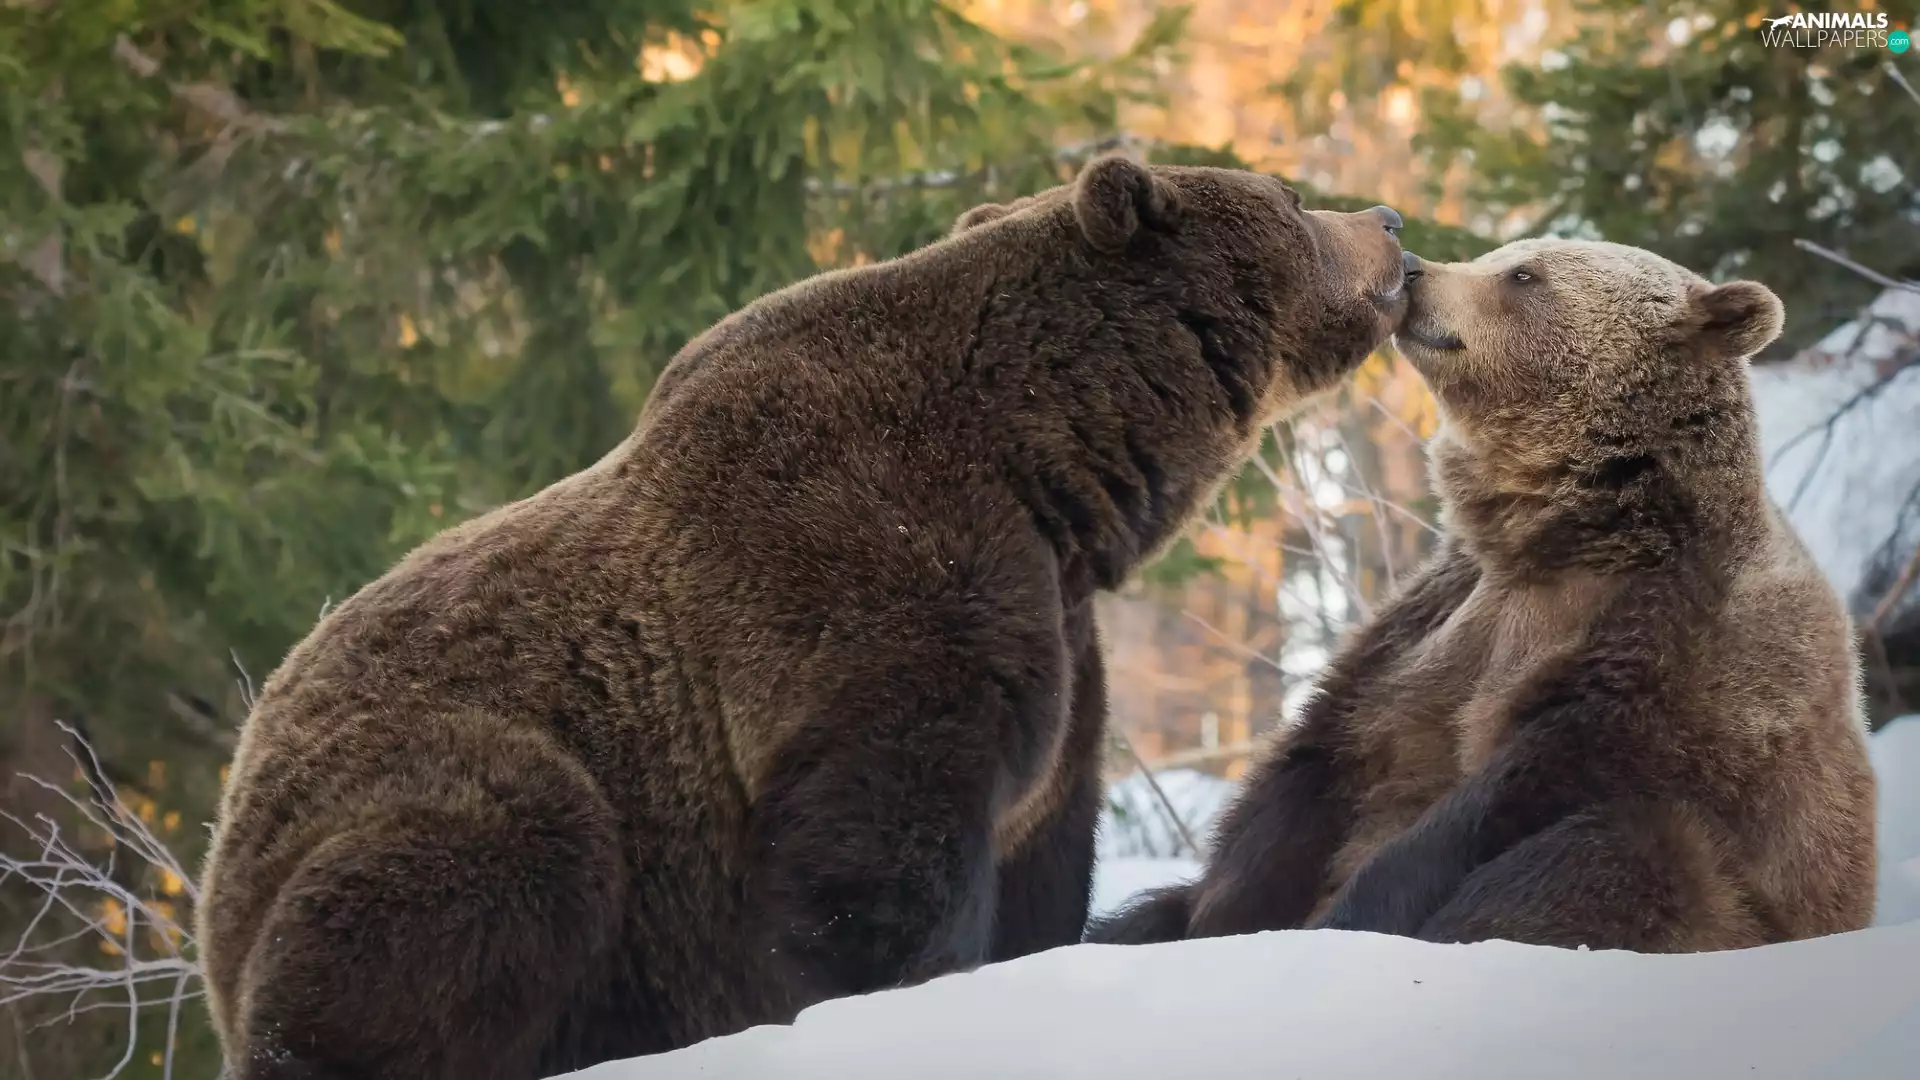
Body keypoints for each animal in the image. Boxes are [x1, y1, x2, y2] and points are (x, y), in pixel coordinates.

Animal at [195, 154, 1413, 1080]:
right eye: (1293, 198)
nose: (1390, 223)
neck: (1050, 469)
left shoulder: (1054, 639)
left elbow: (1044, 847)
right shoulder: (865, 585)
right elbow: (877, 854)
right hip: (444, 795)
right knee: (492, 855)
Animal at [1087, 238, 1878, 952]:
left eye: (1524, 274)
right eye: (1499, 253)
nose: (1413, 269)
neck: (1561, 531)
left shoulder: (1680, 646)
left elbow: (1517, 787)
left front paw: (1351, 915)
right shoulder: (1436, 615)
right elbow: (1317, 766)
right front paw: (1221, 919)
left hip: (1736, 903)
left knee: (1625, 855)